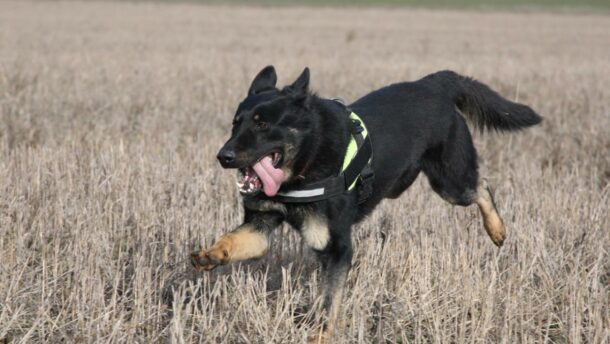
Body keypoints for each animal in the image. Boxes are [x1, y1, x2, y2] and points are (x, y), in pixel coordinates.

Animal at [189, 65, 536, 342]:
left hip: (450, 183)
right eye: (236, 123)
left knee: (482, 186)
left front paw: (319, 336)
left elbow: (328, 302)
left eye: (262, 124)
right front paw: (210, 254)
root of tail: (434, 83)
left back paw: (497, 230)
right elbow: (232, 239)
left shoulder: (337, 249)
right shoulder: (261, 227)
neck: (306, 162)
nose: (223, 157)